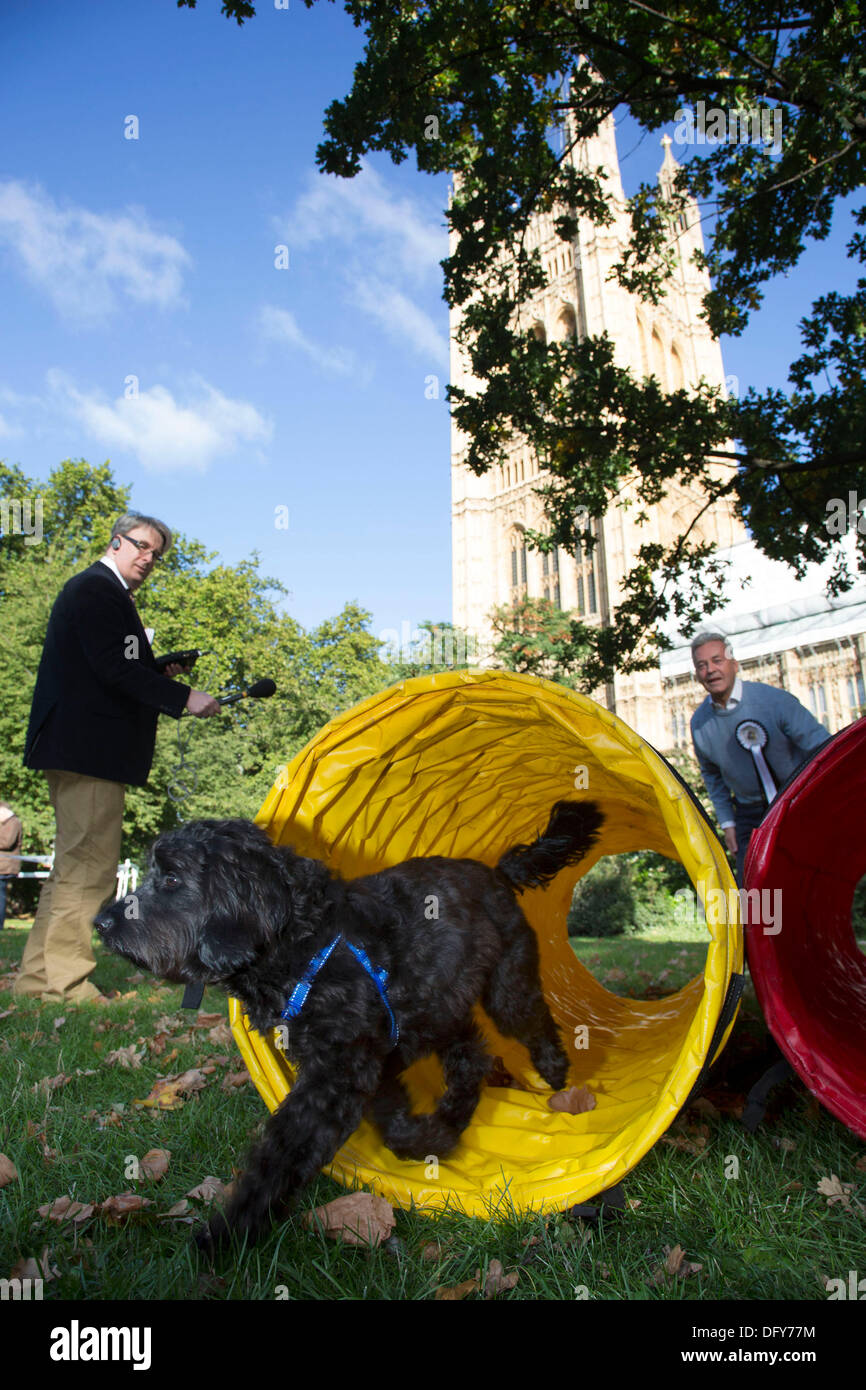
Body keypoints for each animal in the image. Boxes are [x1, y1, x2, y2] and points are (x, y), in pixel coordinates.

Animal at [93, 806, 603, 1251]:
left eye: (172, 879)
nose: (100, 922)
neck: (299, 940)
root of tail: (497, 872)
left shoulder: (336, 1077)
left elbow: (278, 1157)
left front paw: (227, 1233)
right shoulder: (373, 1062)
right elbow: (394, 1127)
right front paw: (431, 1141)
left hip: (506, 989)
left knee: (532, 1023)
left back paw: (554, 1074)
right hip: (441, 1010)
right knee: (471, 1054)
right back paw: (455, 1116)